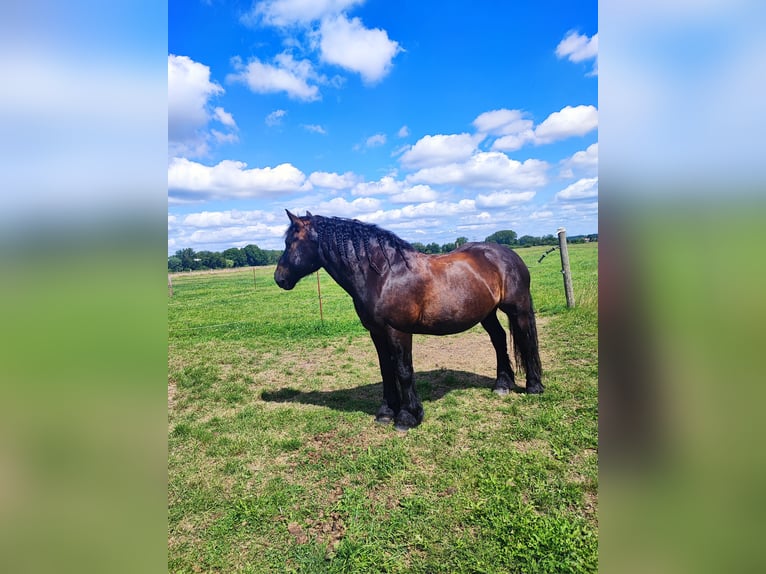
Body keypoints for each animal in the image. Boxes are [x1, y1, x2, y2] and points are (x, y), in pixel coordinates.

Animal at [272, 212, 544, 432]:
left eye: (290, 242)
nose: (279, 278)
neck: (383, 274)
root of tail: (507, 254)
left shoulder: (397, 331)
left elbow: (403, 370)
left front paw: (407, 417)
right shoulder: (376, 332)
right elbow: (386, 369)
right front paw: (385, 413)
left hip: (518, 309)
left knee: (527, 341)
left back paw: (534, 386)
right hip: (487, 313)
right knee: (499, 340)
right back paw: (502, 384)